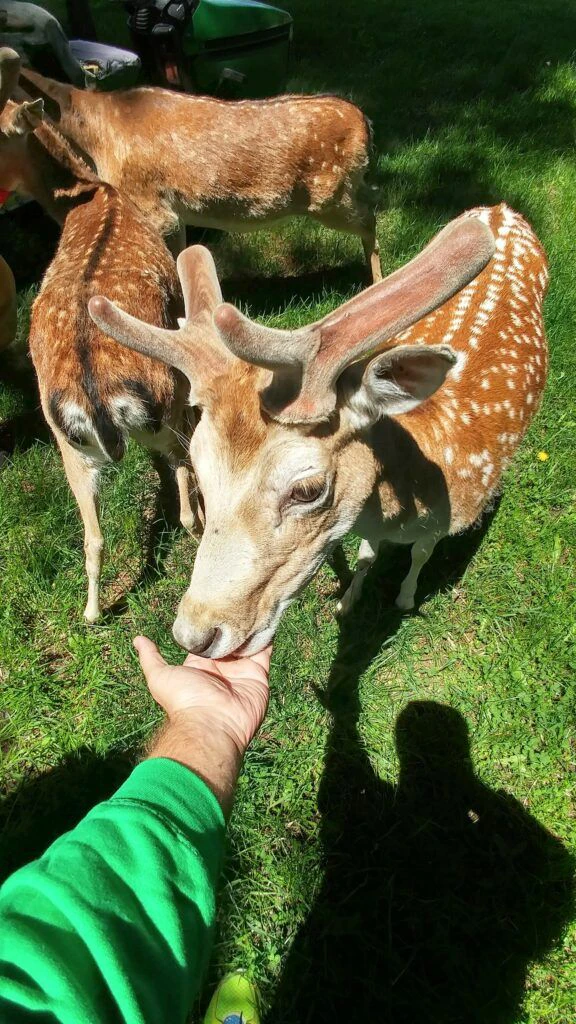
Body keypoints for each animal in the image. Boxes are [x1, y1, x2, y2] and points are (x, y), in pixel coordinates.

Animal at [0, 47, 198, 621]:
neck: (93, 195)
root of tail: (96, 396)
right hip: (162, 402)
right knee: (184, 478)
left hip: (68, 443)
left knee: (93, 536)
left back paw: (91, 612)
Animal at [16, 64, 382, 281]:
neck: (95, 138)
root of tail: (364, 121)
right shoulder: (173, 214)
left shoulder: (149, 203)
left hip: (329, 195)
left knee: (370, 216)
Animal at [89, 202, 548, 658]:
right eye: (200, 474)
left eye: (307, 490)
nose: (193, 636)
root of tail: (502, 209)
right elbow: (365, 556)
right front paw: (347, 600)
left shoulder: (445, 521)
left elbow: (419, 556)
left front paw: (404, 598)